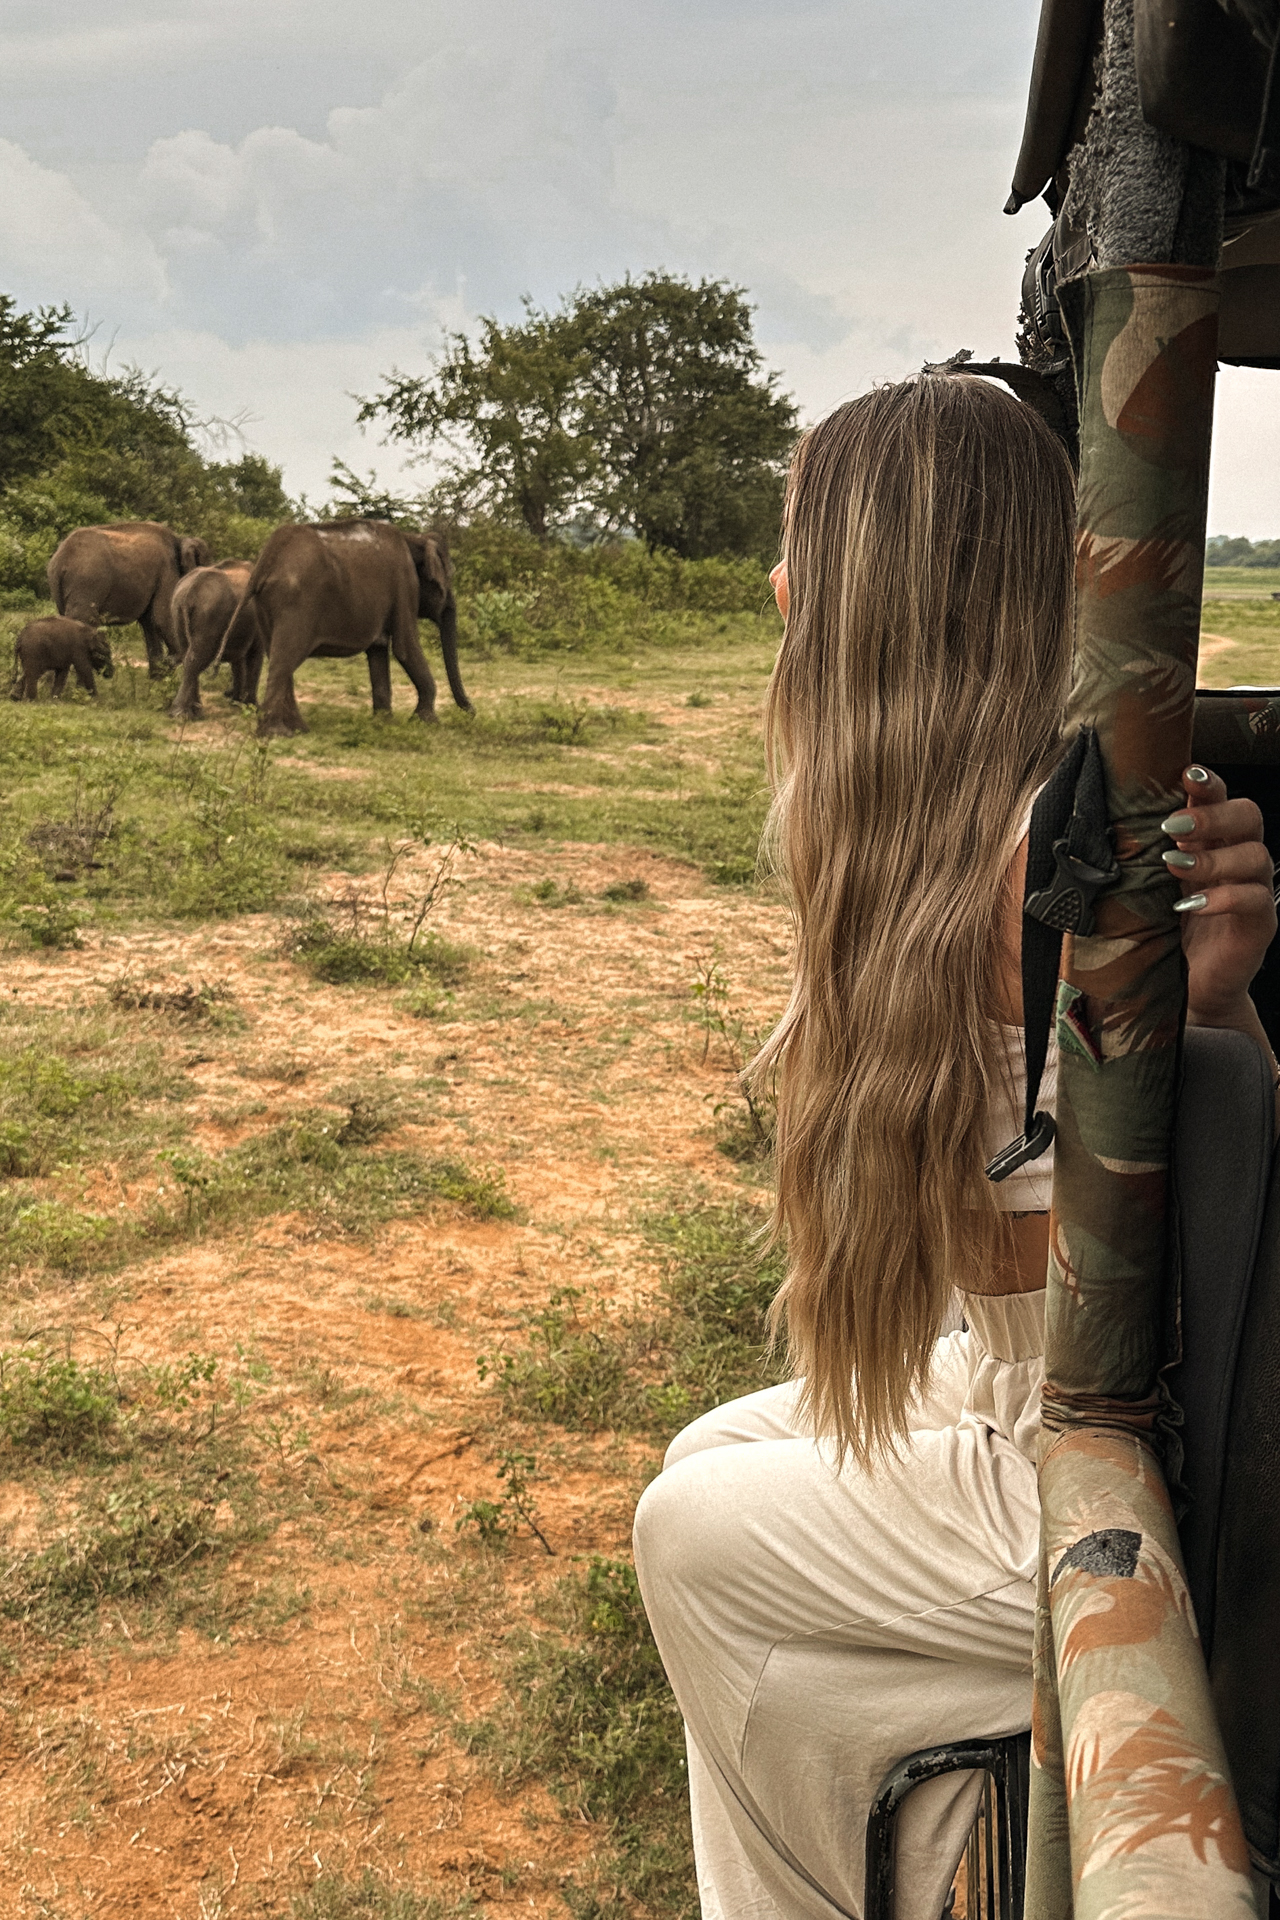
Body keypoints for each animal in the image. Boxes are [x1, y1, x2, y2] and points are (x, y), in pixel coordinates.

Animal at [47, 521, 214, 678]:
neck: (180, 539)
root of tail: (61, 559)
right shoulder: (167, 570)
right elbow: (162, 618)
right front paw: (168, 666)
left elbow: (150, 623)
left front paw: (158, 679)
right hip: (86, 582)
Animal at [168, 560, 259, 719]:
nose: (226, 693)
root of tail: (190, 591)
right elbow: (254, 656)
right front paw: (253, 707)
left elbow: (239, 661)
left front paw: (236, 702)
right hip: (210, 615)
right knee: (196, 658)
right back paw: (182, 714)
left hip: (177, 611)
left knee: (188, 654)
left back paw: (194, 711)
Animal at [215, 519, 471, 737]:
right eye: (447, 579)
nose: (471, 711)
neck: (414, 538)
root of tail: (266, 560)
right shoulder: (404, 584)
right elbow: (405, 648)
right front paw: (427, 723)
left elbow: (378, 650)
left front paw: (382, 724)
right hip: (294, 602)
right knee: (284, 658)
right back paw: (275, 733)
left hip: (266, 604)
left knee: (279, 655)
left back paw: (298, 729)